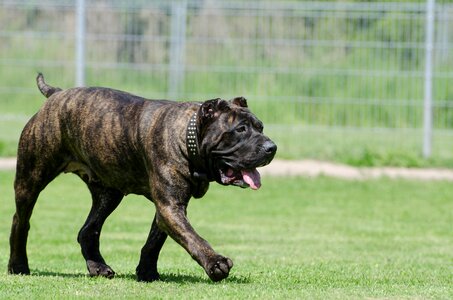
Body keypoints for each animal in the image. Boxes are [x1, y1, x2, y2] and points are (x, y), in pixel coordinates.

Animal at [7, 74, 276, 282]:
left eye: (260, 127)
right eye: (240, 129)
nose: (271, 147)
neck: (187, 138)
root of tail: (56, 94)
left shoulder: (169, 207)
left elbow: (155, 241)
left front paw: (146, 272)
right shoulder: (170, 206)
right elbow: (192, 237)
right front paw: (215, 263)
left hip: (108, 193)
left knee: (88, 230)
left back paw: (98, 267)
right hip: (31, 179)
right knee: (21, 221)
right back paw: (18, 266)